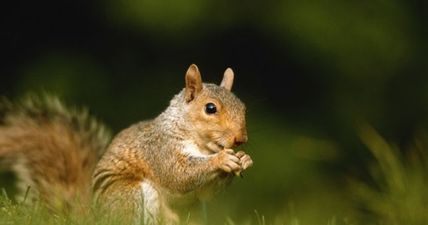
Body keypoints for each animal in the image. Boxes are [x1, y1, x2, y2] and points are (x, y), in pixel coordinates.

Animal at [0, 64, 252, 224]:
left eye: (243, 107)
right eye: (210, 108)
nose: (241, 139)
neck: (201, 145)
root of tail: (94, 216)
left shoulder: (201, 194)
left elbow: (206, 192)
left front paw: (243, 159)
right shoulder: (160, 149)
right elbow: (178, 174)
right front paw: (222, 160)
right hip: (128, 195)